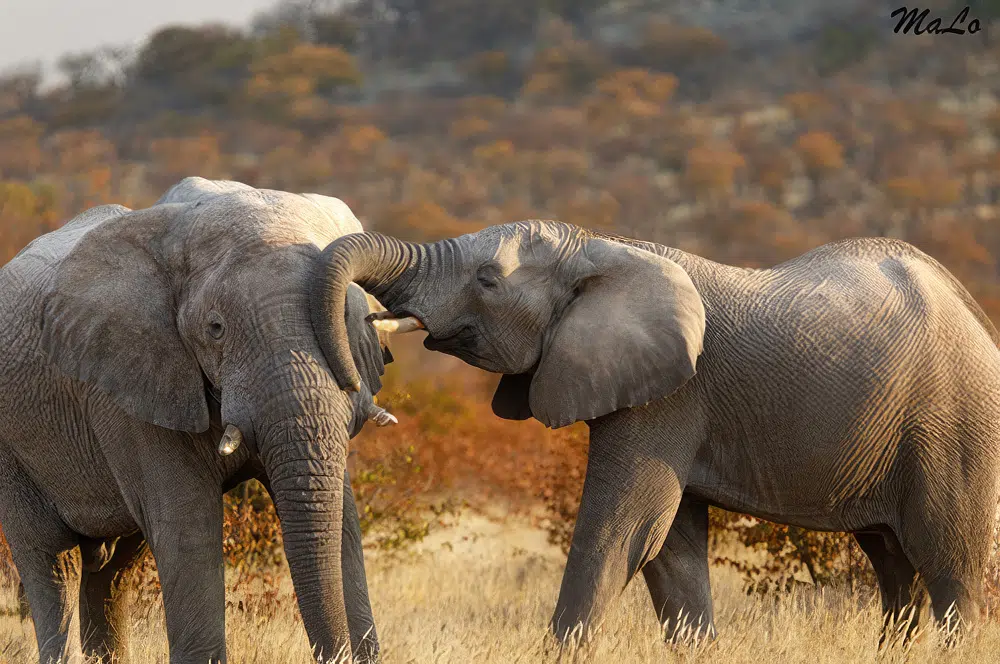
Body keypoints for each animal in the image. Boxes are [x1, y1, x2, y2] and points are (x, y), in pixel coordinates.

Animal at [0, 177, 406, 663]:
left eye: (352, 317)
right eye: (216, 329)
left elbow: (342, 520)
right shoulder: (132, 385)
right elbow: (188, 528)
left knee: (114, 570)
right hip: (11, 449)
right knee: (53, 562)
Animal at [309, 221, 1000, 647]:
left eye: (487, 280)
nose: (366, 362)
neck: (599, 246)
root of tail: (977, 317)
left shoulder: (669, 398)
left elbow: (622, 532)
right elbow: (669, 552)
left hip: (955, 431)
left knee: (950, 568)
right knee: (894, 567)